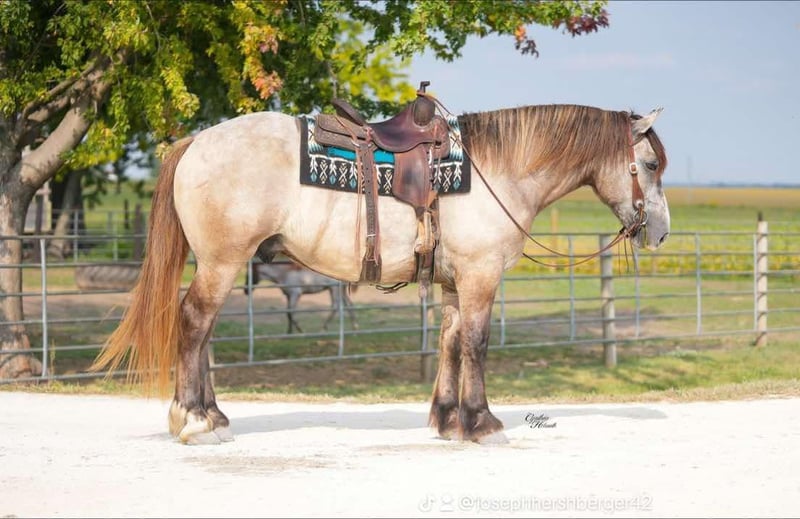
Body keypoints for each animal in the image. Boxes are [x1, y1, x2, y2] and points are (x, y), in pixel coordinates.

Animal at [92, 102, 669, 445]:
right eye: (652, 165)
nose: (660, 232)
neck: (497, 170)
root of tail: (195, 142)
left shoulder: (455, 283)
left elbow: (449, 342)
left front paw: (447, 419)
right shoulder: (481, 277)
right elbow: (477, 344)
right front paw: (482, 423)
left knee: (205, 330)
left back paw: (212, 416)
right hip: (222, 261)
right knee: (194, 324)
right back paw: (193, 421)